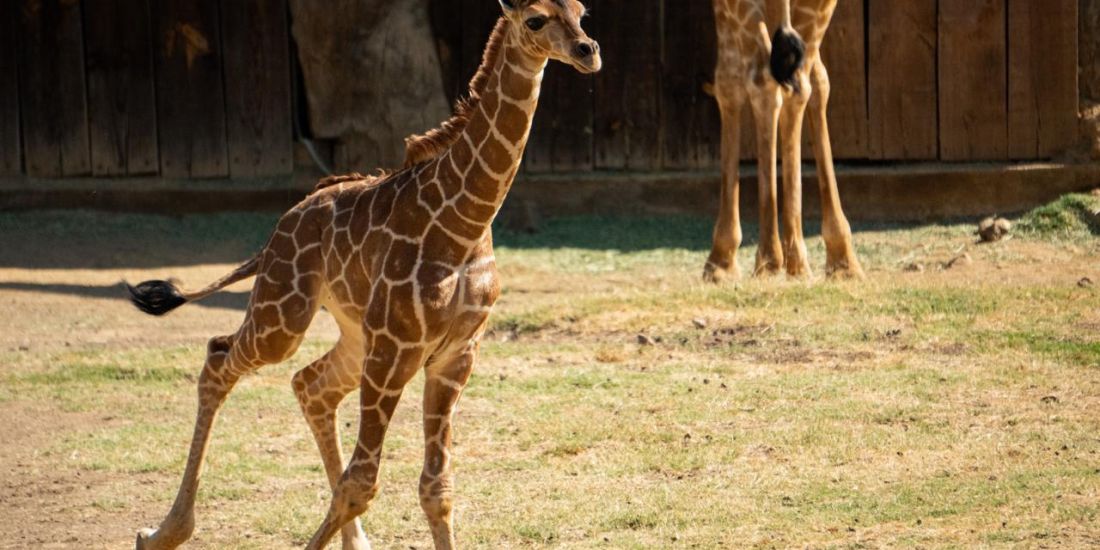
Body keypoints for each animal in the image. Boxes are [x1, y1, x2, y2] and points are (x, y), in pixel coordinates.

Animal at [127, 2, 599, 549]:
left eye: (581, 13)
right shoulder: (397, 346)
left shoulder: (453, 354)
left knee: (310, 384)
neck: (464, 223)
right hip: (285, 316)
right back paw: (164, 532)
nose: (588, 51)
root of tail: (277, 230)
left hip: (356, 335)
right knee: (220, 359)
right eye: (535, 20)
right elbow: (363, 483)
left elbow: (436, 488)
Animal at [704, 0, 863, 282]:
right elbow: (819, 82)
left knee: (765, 78)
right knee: (796, 82)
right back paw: (807, 262)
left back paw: (772, 259)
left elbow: (727, 82)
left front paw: (721, 262)